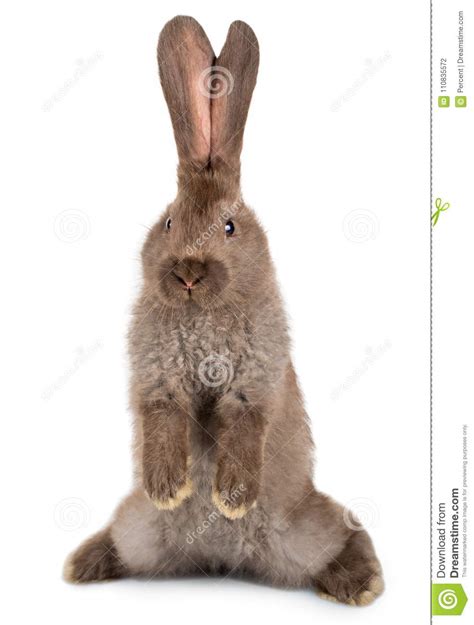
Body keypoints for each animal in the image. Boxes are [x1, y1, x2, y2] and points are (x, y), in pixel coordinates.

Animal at [65, 17, 384, 608]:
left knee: (349, 531)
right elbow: (163, 418)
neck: (204, 314)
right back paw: (83, 562)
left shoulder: (254, 380)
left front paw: (231, 497)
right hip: (138, 529)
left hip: (310, 526)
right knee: (122, 537)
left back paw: (362, 583)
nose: (188, 272)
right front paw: (170, 487)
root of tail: (219, 560)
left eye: (230, 226)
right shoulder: (156, 378)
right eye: (169, 222)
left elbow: (242, 424)